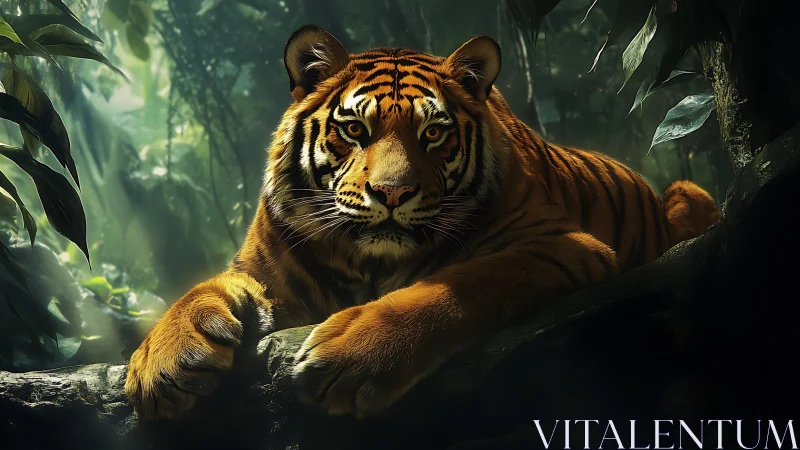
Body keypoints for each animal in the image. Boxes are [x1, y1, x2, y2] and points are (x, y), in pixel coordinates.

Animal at [124, 25, 720, 420]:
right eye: (355, 130)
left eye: (433, 133)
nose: (392, 192)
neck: (364, 259)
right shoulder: (266, 276)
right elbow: (203, 288)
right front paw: (161, 361)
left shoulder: (560, 244)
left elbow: (461, 283)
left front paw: (347, 356)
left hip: (689, 196)